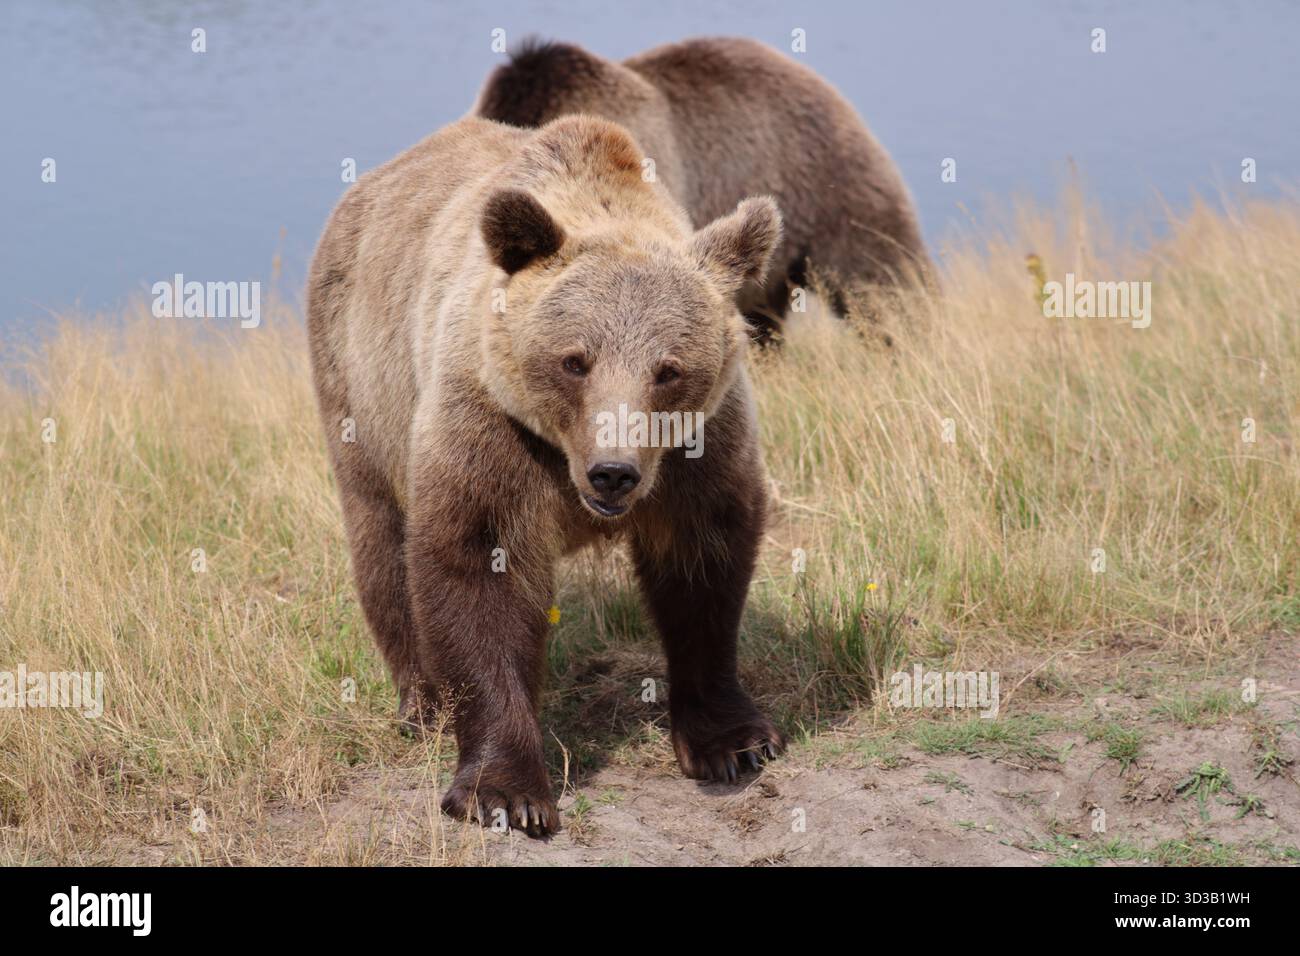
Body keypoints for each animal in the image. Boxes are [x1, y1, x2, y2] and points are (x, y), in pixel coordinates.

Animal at [307, 113, 786, 837]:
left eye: (668, 369)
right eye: (574, 360)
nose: (613, 474)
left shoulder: (697, 448)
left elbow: (705, 564)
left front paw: (736, 743)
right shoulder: (493, 422)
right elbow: (479, 565)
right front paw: (505, 793)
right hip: (360, 388)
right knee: (382, 543)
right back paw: (422, 703)